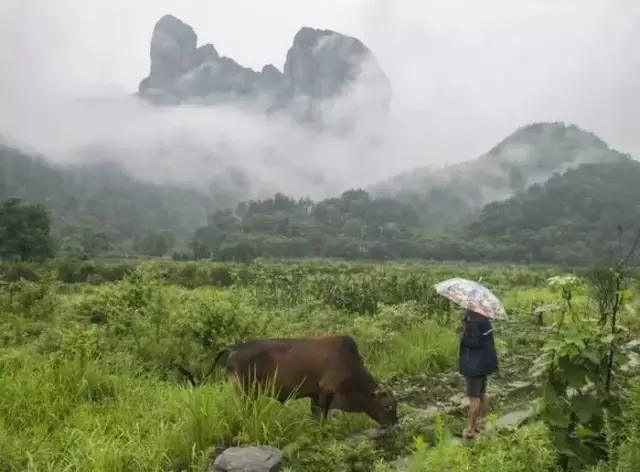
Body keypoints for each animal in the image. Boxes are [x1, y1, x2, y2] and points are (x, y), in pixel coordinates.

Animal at [205, 334, 398, 426]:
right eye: (387, 406)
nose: (395, 424)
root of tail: (234, 348)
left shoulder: (315, 396)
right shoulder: (326, 394)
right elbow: (322, 418)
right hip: (246, 393)